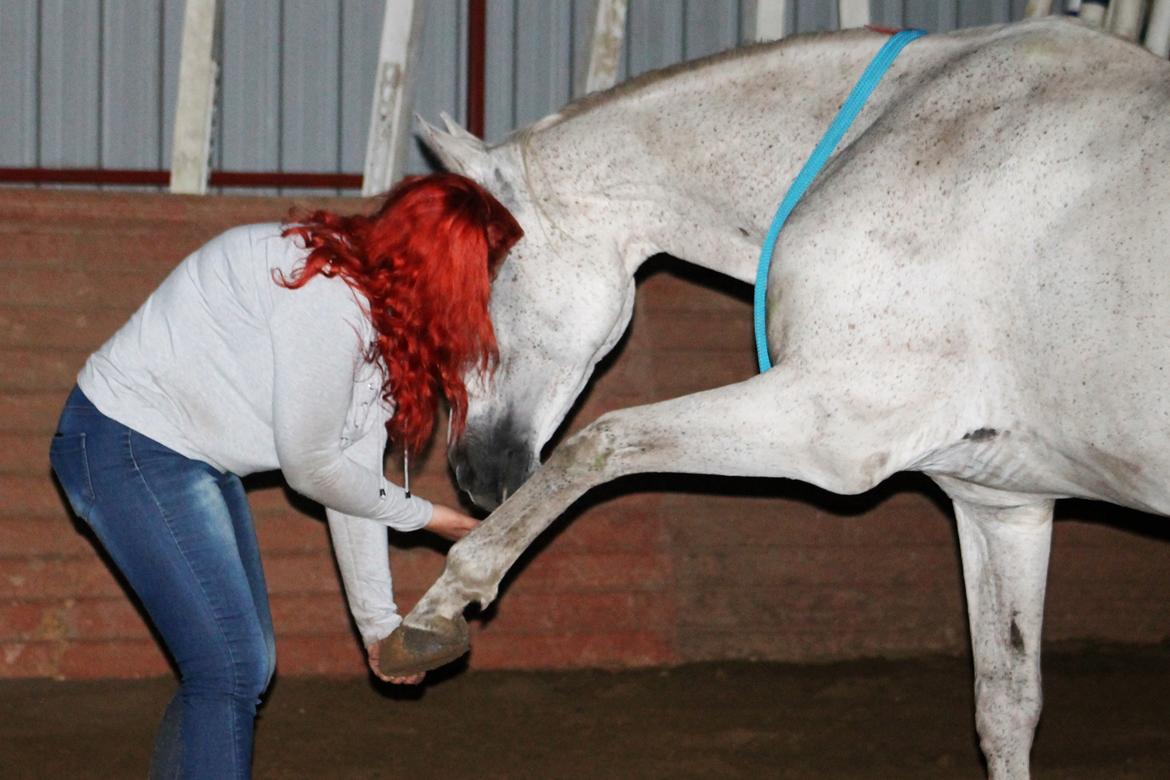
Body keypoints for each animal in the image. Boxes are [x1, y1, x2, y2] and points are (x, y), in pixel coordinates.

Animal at [383, 19, 1170, 780]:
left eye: (466, 299)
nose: (475, 474)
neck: (889, 136)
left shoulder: (832, 430)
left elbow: (599, 445)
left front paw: (435, 611)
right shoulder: (1001, 505)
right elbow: (1006, 709)